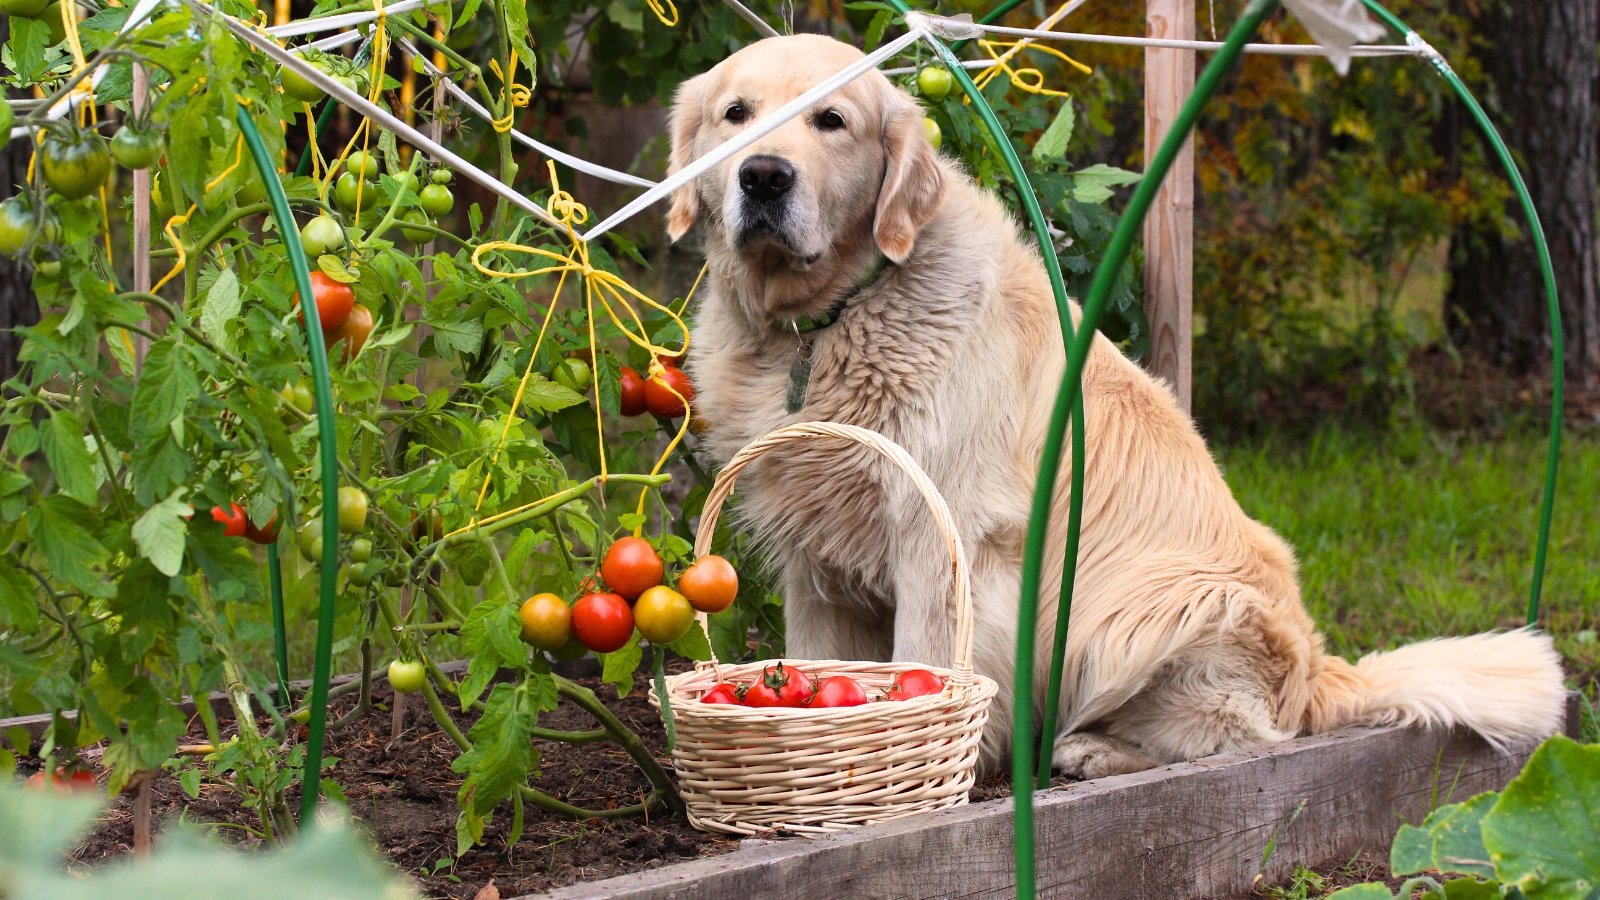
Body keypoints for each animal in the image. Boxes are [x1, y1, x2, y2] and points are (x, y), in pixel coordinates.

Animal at [662, 35, 1561, 771]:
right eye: (735, 114)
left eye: (832, 121)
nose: (764, 176)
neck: (823, 323)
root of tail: (1320, 674)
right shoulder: (814, 557)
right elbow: (815, 651)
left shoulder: (938, 535)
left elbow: (928, 662)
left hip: (1144, 615)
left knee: (1233, 738)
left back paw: (1091, 751)